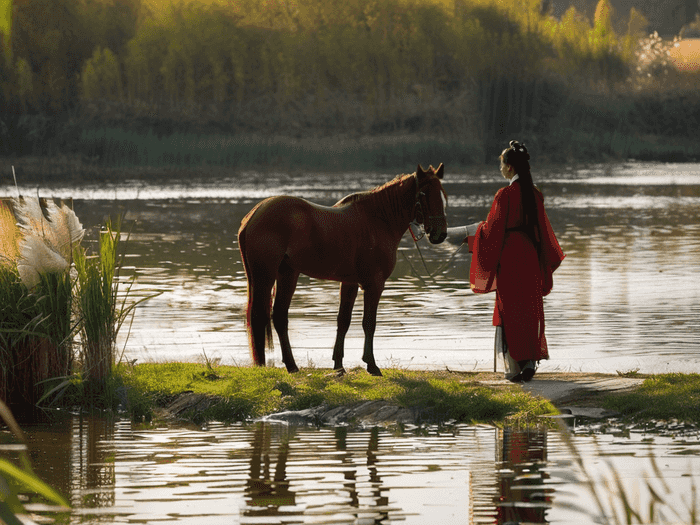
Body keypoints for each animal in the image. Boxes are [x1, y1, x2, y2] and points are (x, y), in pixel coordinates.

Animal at [239, 163, 448, 372]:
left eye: (442, 194)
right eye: (424, 194)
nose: (440, 234)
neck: (376, 220)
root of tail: (253, 214)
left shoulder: (349, 282)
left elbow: (343, 321)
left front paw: (338, 364)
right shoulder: (375, 284)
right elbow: (369, 323)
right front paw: (371, 364)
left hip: (287, 274)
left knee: (279, 316)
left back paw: (291, 366)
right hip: (265, 276)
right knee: (259, 316)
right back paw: (262, 365)